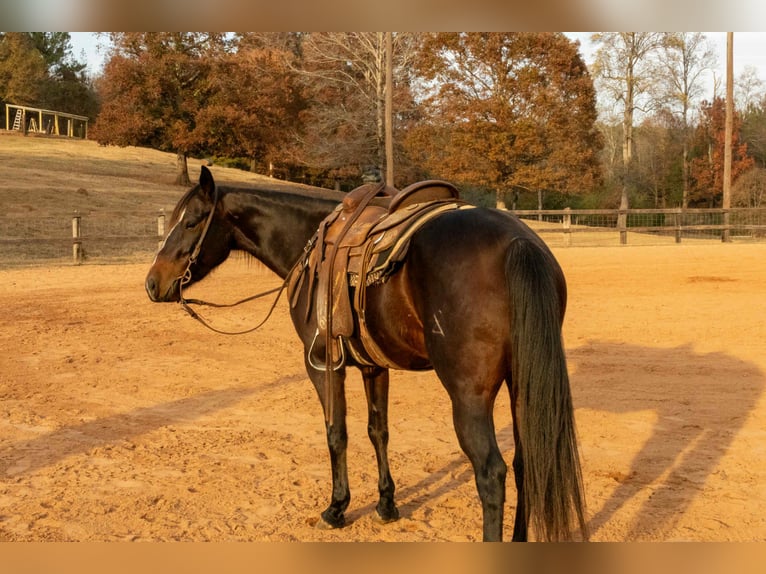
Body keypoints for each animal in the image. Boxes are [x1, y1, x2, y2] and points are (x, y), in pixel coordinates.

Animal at [145, 166, 588, 542]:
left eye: (191, 221)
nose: (153, 283)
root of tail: (517, 242)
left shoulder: (322, 364)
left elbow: (336, 433)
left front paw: (336, 508)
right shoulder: (375, 367)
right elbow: (379, 431)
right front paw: (386, 504)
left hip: (469, 396)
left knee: (491, 473)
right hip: (522, 385)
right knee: (528, 463)